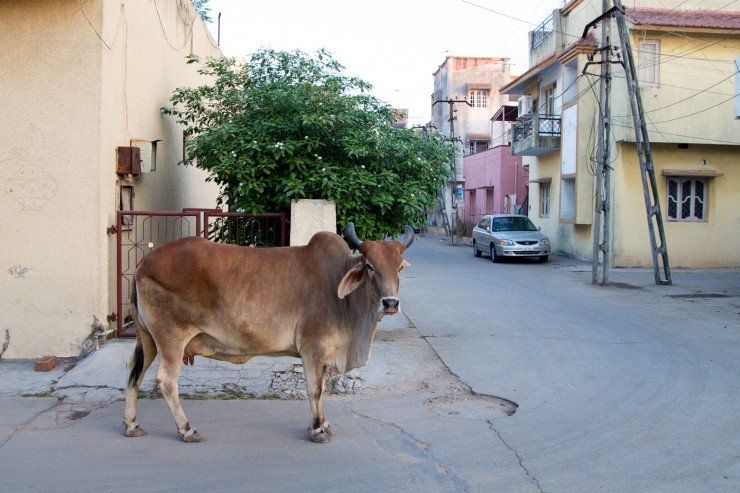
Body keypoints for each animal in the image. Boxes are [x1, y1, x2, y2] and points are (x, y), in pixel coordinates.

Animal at [121, 222, 410, 442]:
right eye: (370, 266)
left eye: (398, 267)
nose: (390, 303)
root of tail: (144, 262)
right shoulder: (312, 348)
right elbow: (315, 389)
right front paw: (317, 430)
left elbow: (322, 388)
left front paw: (324, 424)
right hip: (171, 339)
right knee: (166, 382)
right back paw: (187, 430)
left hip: (147, 339)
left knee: (134, 374)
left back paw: (132, 425)